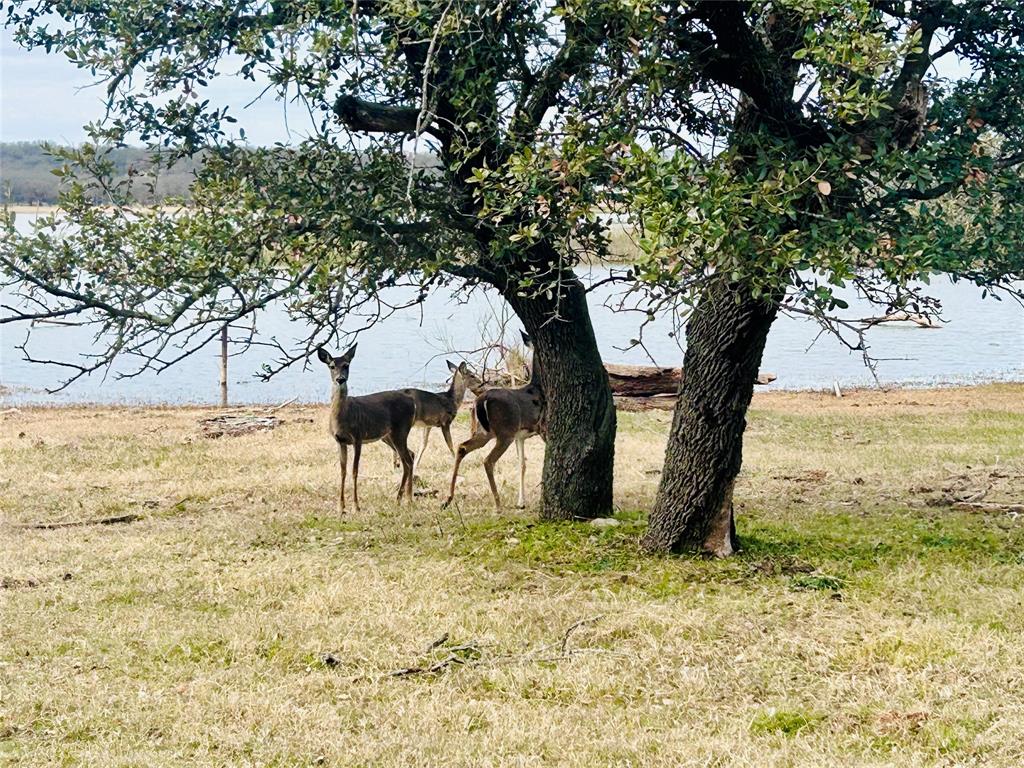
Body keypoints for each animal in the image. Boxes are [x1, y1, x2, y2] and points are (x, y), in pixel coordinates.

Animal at [316, 345, 416, 514]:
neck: (342, 417)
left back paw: (402, 499)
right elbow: (342, 471)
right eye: (332, 366)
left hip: (401, 430)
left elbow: (354, 471)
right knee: (410, 455)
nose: (340, 379)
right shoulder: (340, 441)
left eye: (346, 365)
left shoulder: (358, 437)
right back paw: (405, 499)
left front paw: (356, 506)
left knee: (407, 461)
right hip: (388, 436)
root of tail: (412, 402)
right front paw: (341, 507)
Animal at [442, 332, 545, 510]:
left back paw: (448, 498)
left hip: (485, 432)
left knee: (462, 447)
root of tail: (480, 401)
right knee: (488, 460)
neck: (537, 387)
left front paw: (521, 503)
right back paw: (497, 503)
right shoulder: (543, 428)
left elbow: (522, 465)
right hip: (504, 433)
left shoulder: (520, 436)